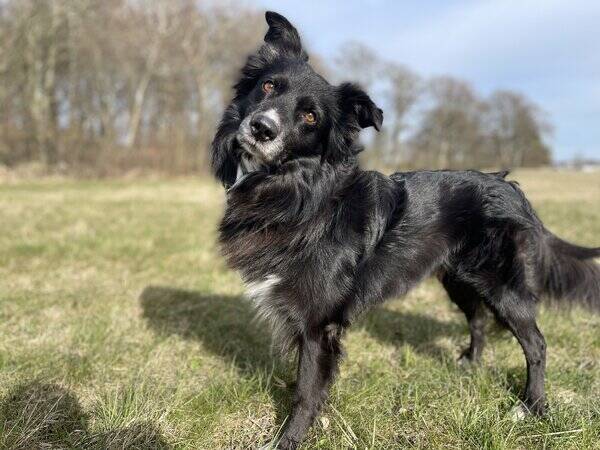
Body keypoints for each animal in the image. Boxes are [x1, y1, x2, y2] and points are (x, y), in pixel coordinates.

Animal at [210, 12, 600, 448]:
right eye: (268, 86)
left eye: (310, 117)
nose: (261, 128)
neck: (300, 192)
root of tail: (512, 189)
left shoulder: (317, 324)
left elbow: (306, 391)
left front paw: (289, 439)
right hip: (459, 280)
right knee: (479, 320)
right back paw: (469, 364)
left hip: (503, 286)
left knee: (536, 344)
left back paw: (532, 407)